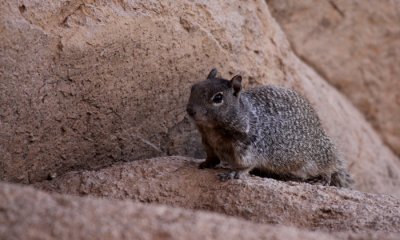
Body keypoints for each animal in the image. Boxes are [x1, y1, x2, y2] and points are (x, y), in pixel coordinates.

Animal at [188, 68, 354, 188]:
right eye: (193, 88)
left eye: (218, 98)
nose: (190, 110)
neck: (212, 130)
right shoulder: (207, 142)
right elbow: (212, 157)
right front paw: (206, 163)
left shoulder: (248, 147)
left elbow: (245, 165)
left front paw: (233, 173)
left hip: (318, 156)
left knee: (331, 167)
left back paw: (323, 178)